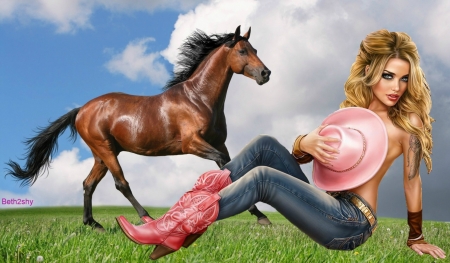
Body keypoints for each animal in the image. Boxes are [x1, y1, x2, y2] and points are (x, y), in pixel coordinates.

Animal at [7, 24, 272, 231]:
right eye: (242, 50)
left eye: (256, 50)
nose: (265, 73)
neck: (199, 98)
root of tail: (81, 110)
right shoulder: (193, 144)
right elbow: (227, 169)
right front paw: (258, 215)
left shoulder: (220, 143)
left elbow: (231, 167)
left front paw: (259, 215)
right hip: (105, 150)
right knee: (121, 183)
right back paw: (147, 218)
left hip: (101, 155)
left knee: (88, 184)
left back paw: (94, 224)